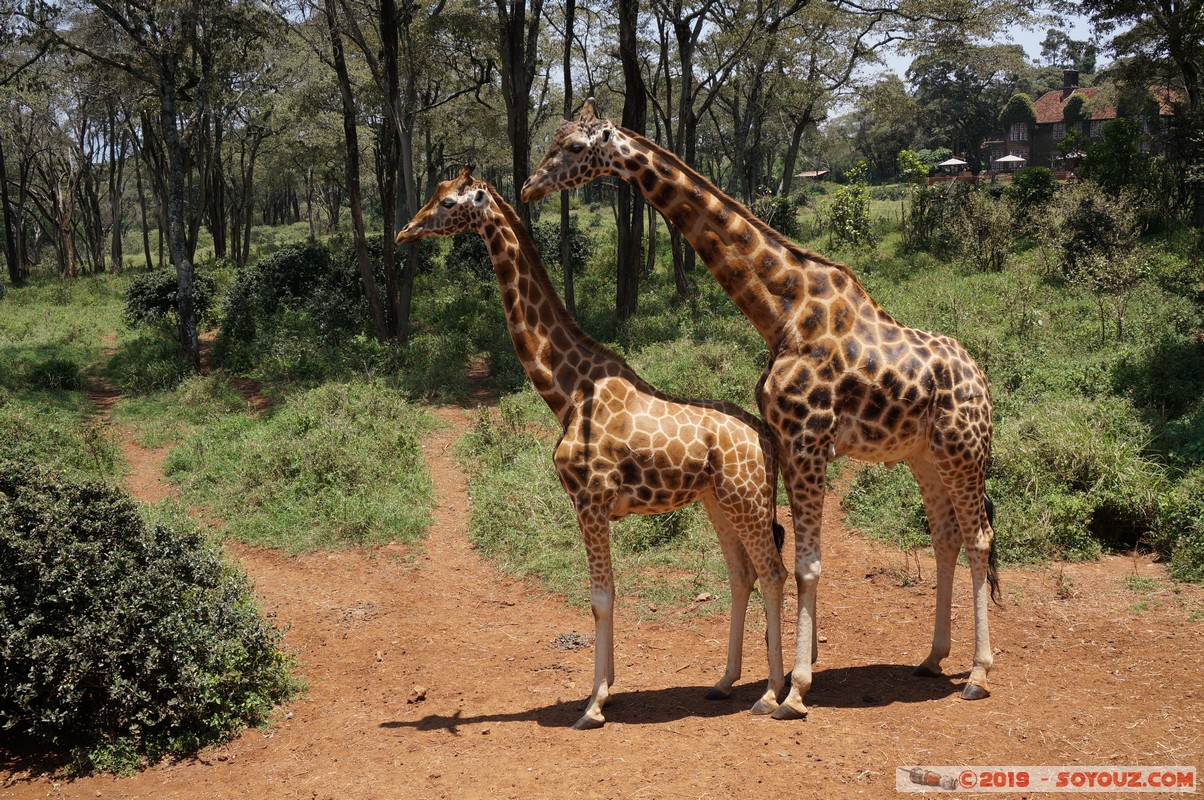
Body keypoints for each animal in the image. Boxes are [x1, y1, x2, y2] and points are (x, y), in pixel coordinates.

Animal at [394, 168, 789, 732]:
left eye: (447, 202)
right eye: (433, 195)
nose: (404, 231)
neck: (565, 391)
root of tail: (767, 439)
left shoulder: (590, 499)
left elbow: (601, 598)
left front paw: (594, 704)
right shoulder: (594, 504)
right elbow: (606, 596)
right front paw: (608, 689)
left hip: (747, 498)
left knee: (774, 573)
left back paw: (772, 694)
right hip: (718, 500)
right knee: (743, 574)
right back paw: (723, 682)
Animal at [522, 98, 1001, 718]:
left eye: (576, 147)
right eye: (554, 141)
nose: (529, 186)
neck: (782, 310)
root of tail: (982, 379)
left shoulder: (806, 438)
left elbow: (805, 563)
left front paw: (794, 689)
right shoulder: (790, 441)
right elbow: (796, 559)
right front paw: (792, 675)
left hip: (964, 450)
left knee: (979, 538)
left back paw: (978, 672)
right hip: (924, 455)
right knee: (945, 538)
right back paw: (933, 658)